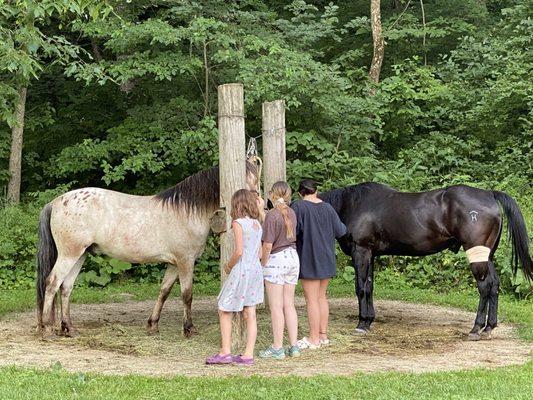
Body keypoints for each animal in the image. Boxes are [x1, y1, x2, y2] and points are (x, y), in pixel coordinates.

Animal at [320, 183, 532, 340]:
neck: (353, 204)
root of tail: (489, 194)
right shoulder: (371, 254)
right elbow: (369, 287)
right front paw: (369, 320)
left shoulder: (361, 251)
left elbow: (361, 288)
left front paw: (362, 323)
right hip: (486, 255)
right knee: (494, 285)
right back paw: (489, 327)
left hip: (476, 255)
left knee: (485, 286)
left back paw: (476, 328)